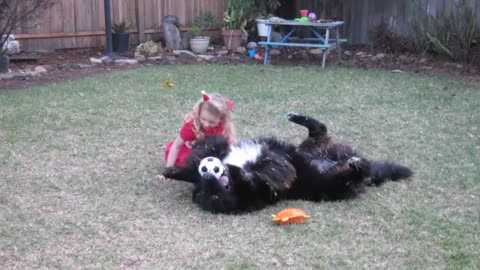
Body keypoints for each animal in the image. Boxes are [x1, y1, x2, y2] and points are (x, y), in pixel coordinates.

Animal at [162, 113, 412, 214]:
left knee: (319, 129)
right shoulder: (260, 189)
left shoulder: (219, 148)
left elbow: (204, 153)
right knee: (356, 170)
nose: (209, 175)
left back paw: (299, 118)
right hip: (339, 182)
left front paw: (173, 171)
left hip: (309, 147)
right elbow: (268, 175)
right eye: (213, 197)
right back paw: (358, 165)